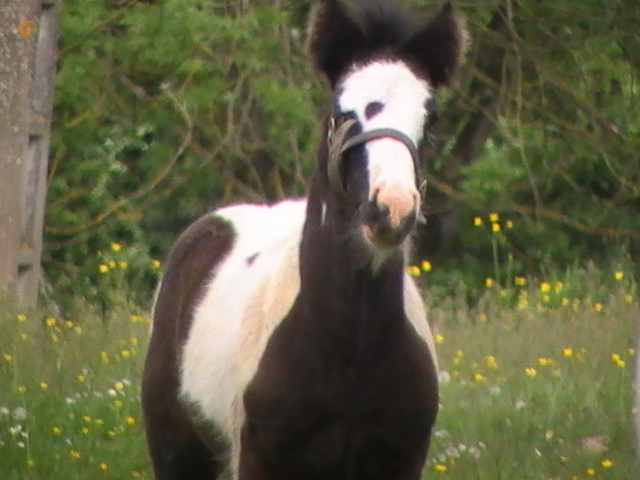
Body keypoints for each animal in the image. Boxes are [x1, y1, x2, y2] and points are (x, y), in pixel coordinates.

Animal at [142, 1, 468, 478]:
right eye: (341, 111)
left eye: (431, 117)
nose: (392, 208)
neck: (349, 354)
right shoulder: (260, 456)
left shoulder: (401, 456)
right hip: (177, 449)